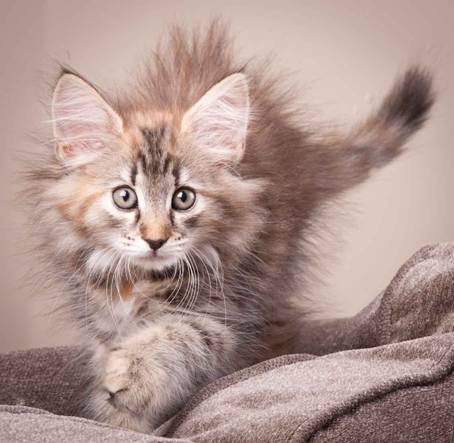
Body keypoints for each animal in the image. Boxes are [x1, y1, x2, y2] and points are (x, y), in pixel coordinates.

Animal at [24, 22, 434, 433]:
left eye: (183, 198)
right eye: (125, 197)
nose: (155, 240)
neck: (139, 283)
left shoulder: (226, 308)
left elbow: (181, 334)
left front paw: (134, 378)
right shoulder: (98, 313)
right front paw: (115, 417)